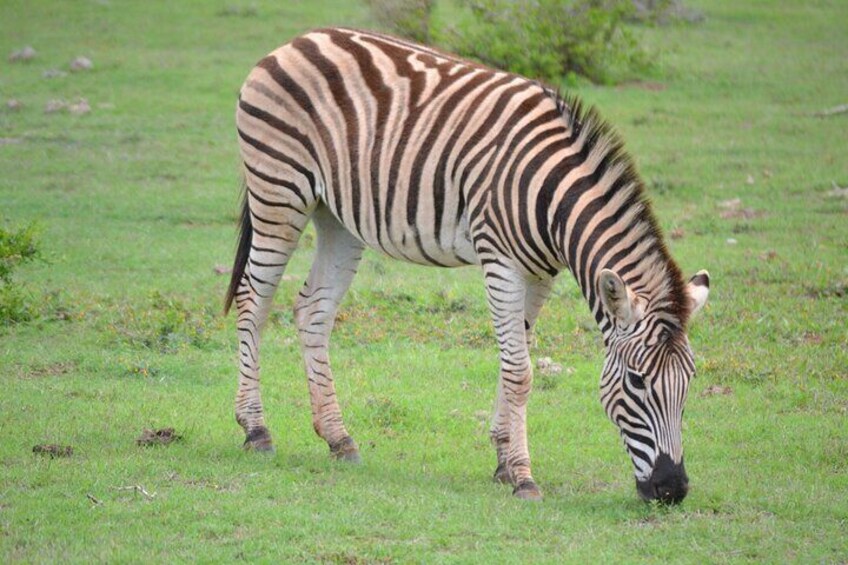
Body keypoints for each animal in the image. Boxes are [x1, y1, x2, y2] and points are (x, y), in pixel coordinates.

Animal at [225, 26, 708, 502]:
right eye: (637, 381)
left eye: (689, 383)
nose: (672, 489)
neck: (552, 198)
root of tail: (299, 39)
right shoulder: (500, 260)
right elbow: (520, 371)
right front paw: (523, 476)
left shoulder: (540, 273)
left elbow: (515, 360)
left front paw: (503, 460)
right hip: (279, 191)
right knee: (253, 300)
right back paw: (256, 429)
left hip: (337, 217)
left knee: (313, 311)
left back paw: (339, 438)